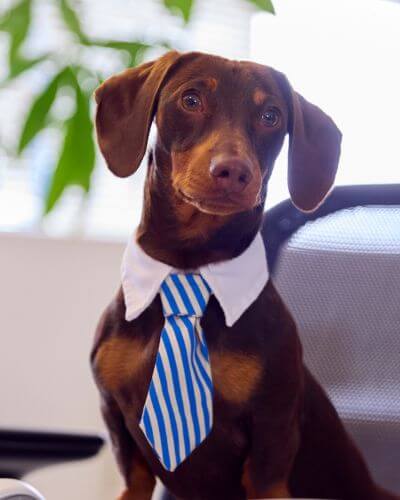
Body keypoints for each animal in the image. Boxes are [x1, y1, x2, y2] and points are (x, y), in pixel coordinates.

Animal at [90, 51, 396, 500]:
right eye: (191, 100)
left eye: (271, 115)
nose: (233, 171)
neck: (189, 265)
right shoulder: (120, 430)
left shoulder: (271, 440)